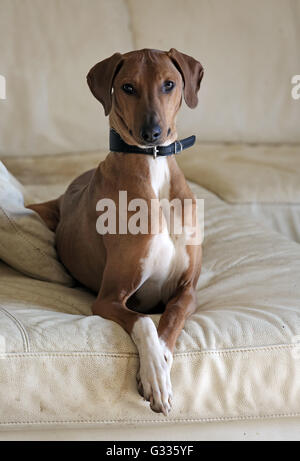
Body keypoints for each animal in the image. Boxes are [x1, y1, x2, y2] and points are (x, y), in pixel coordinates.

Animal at [28, 48, 204, 416]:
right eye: (128, 87)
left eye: (169, 84)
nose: (152, 133)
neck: (153, 166)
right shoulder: (109, 297)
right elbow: (145, 322)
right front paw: (155, 373)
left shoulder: (188, 290)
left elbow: (171, 317)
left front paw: (160, 364)